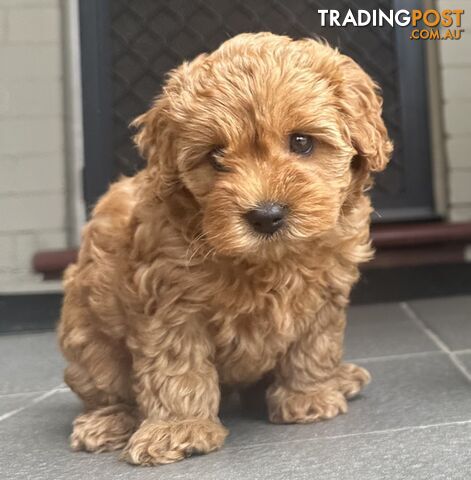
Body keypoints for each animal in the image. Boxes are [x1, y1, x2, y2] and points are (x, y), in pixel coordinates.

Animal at [57, 32, 392, 464]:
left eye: (301, 142)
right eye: (215, 156)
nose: (266, 215)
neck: (270, 262)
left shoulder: (326, 292)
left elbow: (313, 345)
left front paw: (309, 395)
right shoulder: (170, 304)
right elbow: (177, 367)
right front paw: (177, 428)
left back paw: (341, 377)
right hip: (86, 337)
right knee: (106, 389)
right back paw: (107, 422)